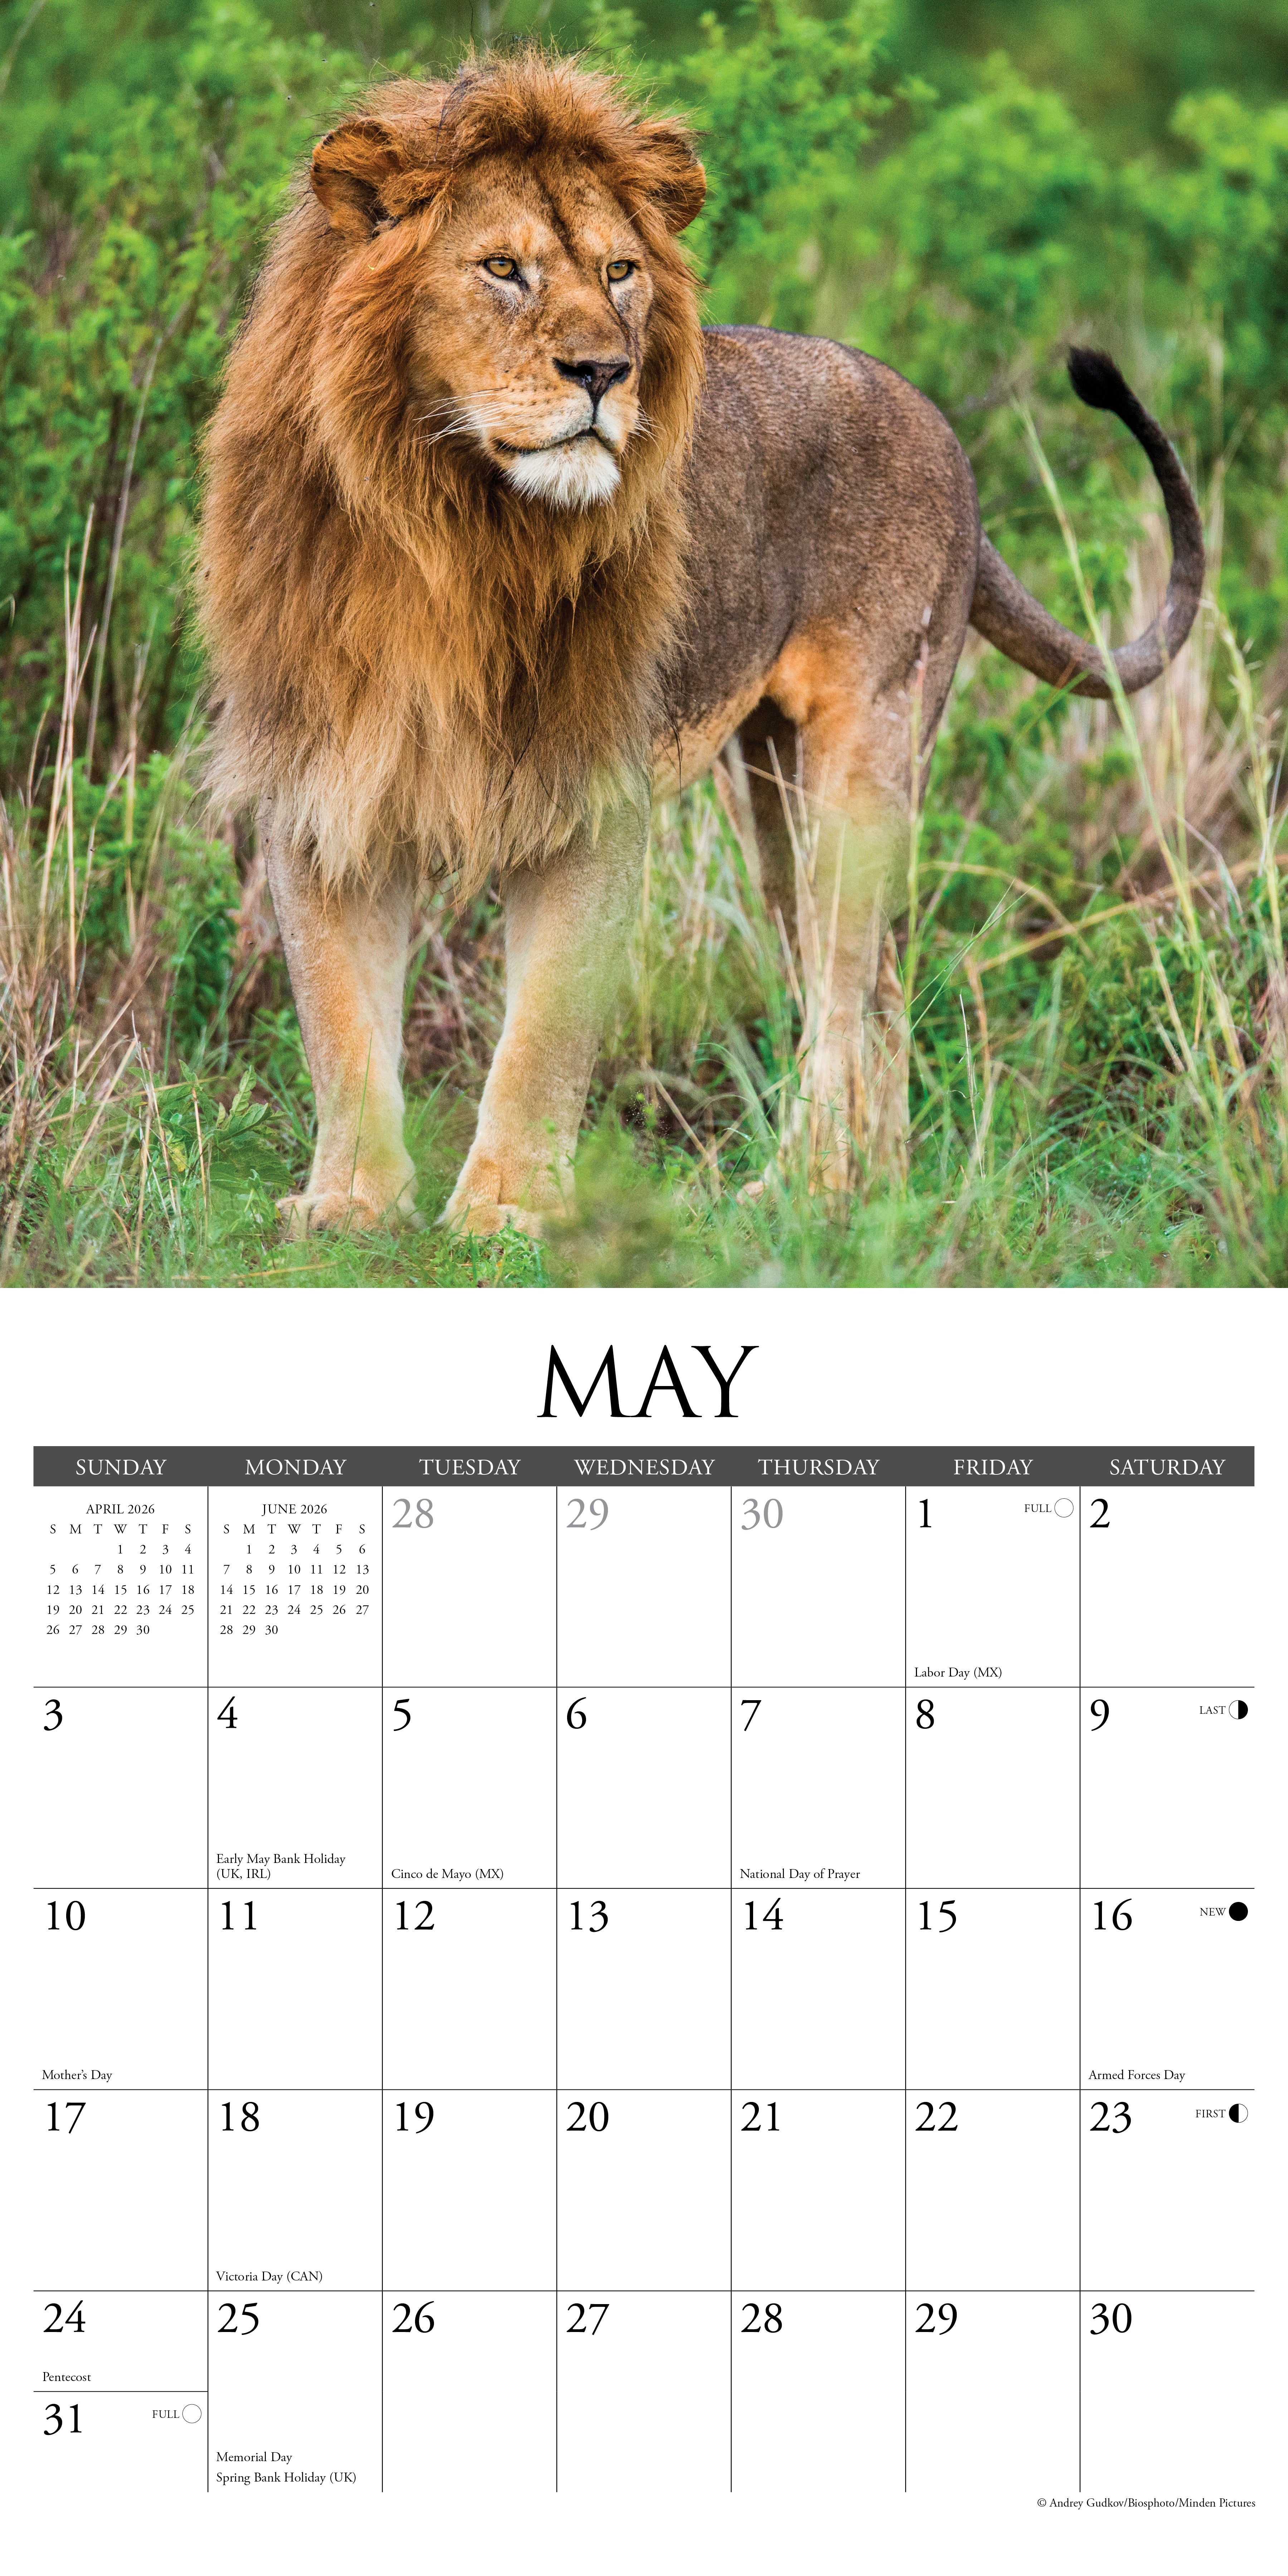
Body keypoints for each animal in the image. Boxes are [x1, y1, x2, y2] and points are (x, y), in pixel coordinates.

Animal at [198, 49, 1203, 1235]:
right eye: (502, 268)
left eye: (621, 271)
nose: (605, 372)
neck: (447, 525)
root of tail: (942, 428)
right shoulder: (323, 786)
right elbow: (342, 1024)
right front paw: (351, 1206)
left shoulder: (591, 791)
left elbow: (544, 1026)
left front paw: (507, 1213)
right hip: (776, 788)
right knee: (873, 981)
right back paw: (877, 1191)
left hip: (868, 745)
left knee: (846, 986)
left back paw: (806, 1189)